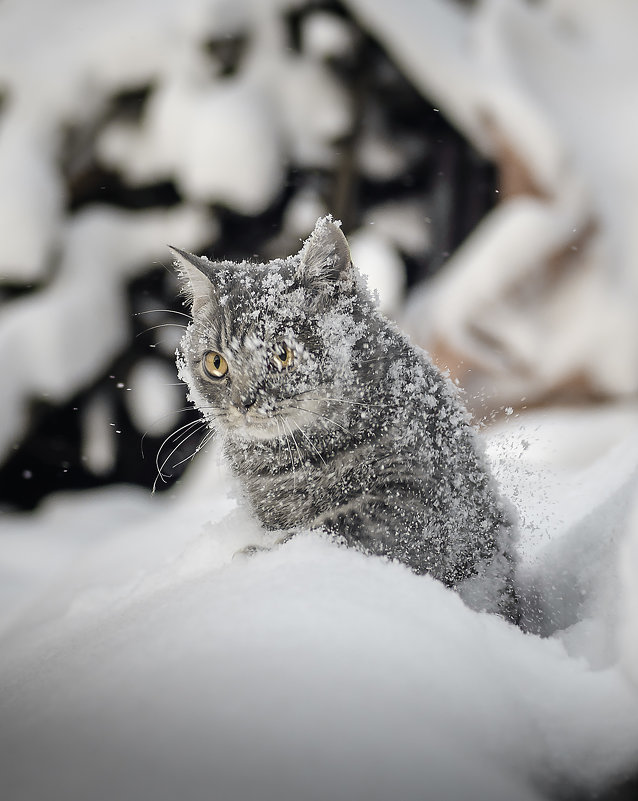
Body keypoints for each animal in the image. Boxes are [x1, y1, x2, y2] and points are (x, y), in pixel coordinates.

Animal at [174, 217, 520, 620]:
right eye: (215, 363)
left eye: (282, 354)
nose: (243, 402)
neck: (295, 457)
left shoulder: (423, 499)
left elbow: (339, 526)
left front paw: (262, 555)